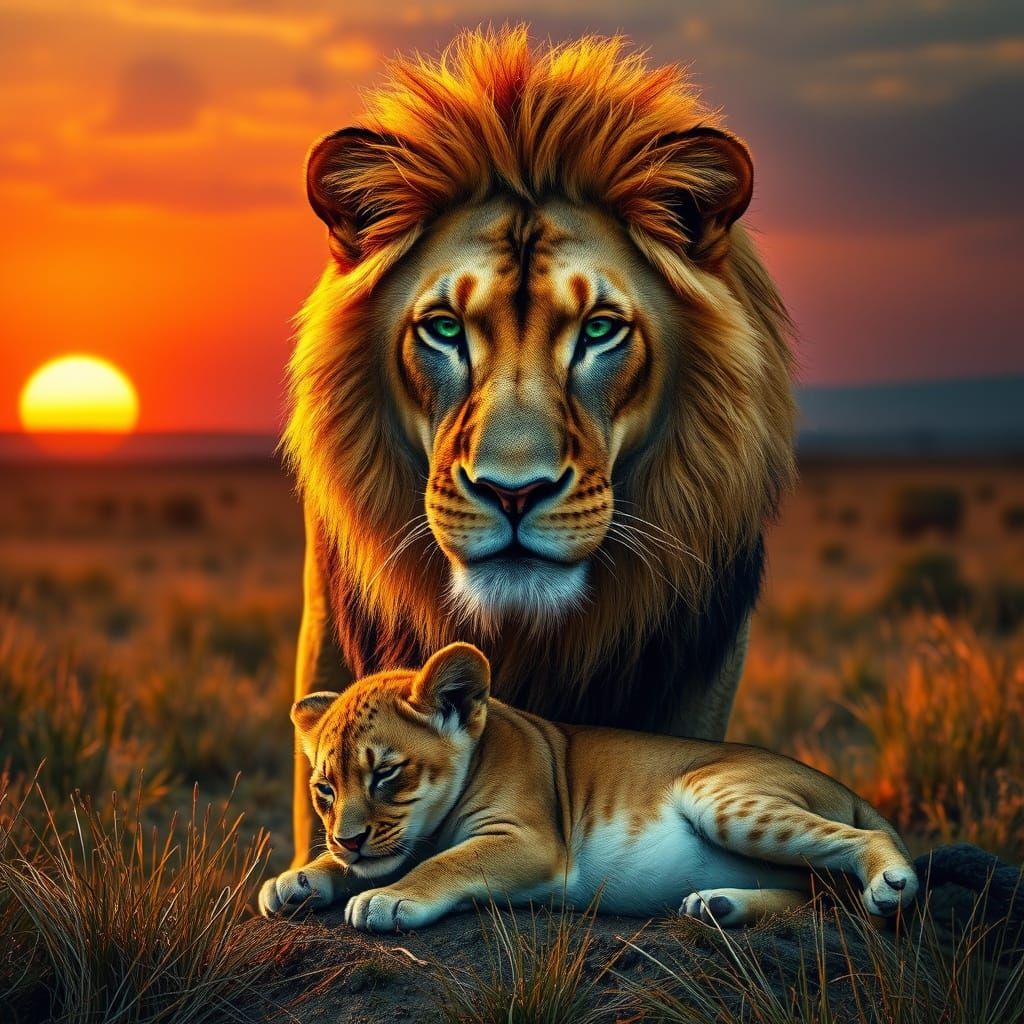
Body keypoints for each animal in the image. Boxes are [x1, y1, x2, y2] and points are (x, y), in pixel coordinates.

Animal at [259, 643, 917, 930]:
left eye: (387, 773)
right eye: (324, 790)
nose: (347, 840)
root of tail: (847, 788)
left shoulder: (531, 842)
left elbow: (445, 863)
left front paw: (387, 899)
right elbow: (362, 864)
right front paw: (296, 881)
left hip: (720, 797)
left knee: (854, 845)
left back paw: (890, 884)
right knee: (816, 894)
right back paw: (716, 905)